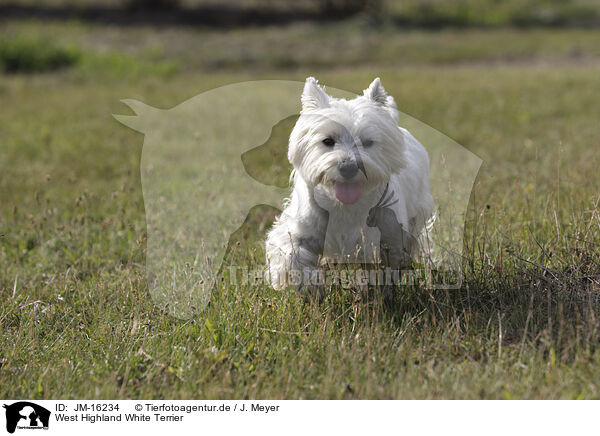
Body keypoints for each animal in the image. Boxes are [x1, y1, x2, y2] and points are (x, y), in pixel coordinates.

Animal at [264, 77, 434, 296]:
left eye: (367, 142)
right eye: (328, 140)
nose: (348, 168)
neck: (344, 207)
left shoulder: (388, 237)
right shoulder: (300, 230)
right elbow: (292, 254)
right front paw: (312, 287)